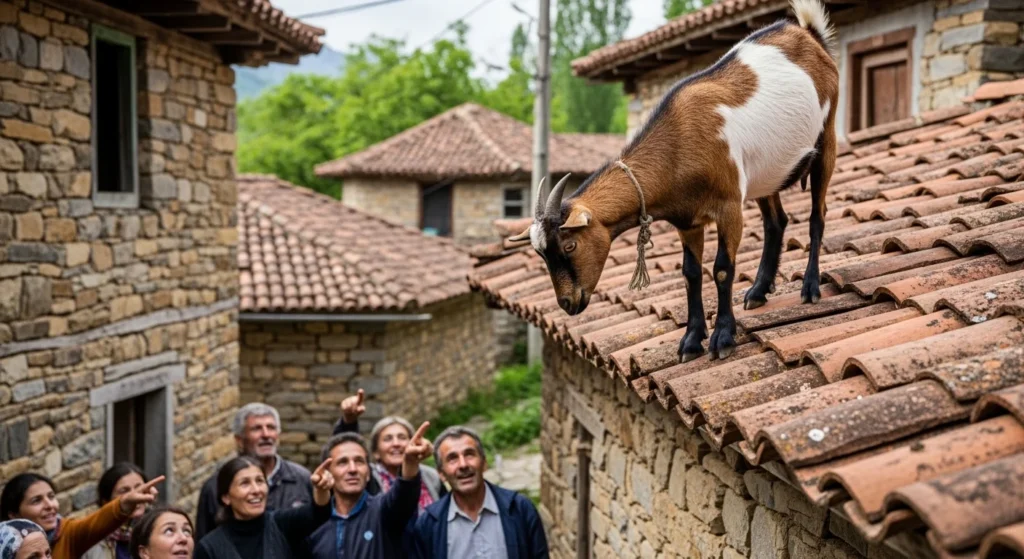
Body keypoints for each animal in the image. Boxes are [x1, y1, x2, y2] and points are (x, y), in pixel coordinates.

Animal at [510, 0, 839, 363]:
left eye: (569, 245)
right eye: (541, 254)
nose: (568, 303)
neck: (679, 144)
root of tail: (808, 34)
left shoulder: (728, 206)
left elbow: (722, 268)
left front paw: (723, 337)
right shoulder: (688, 220)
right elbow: (690, 273)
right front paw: (692, 340)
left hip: (826, 137)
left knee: (817, 215)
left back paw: (810, 287)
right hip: (767, 172)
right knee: (776, 221)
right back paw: (757, 291)